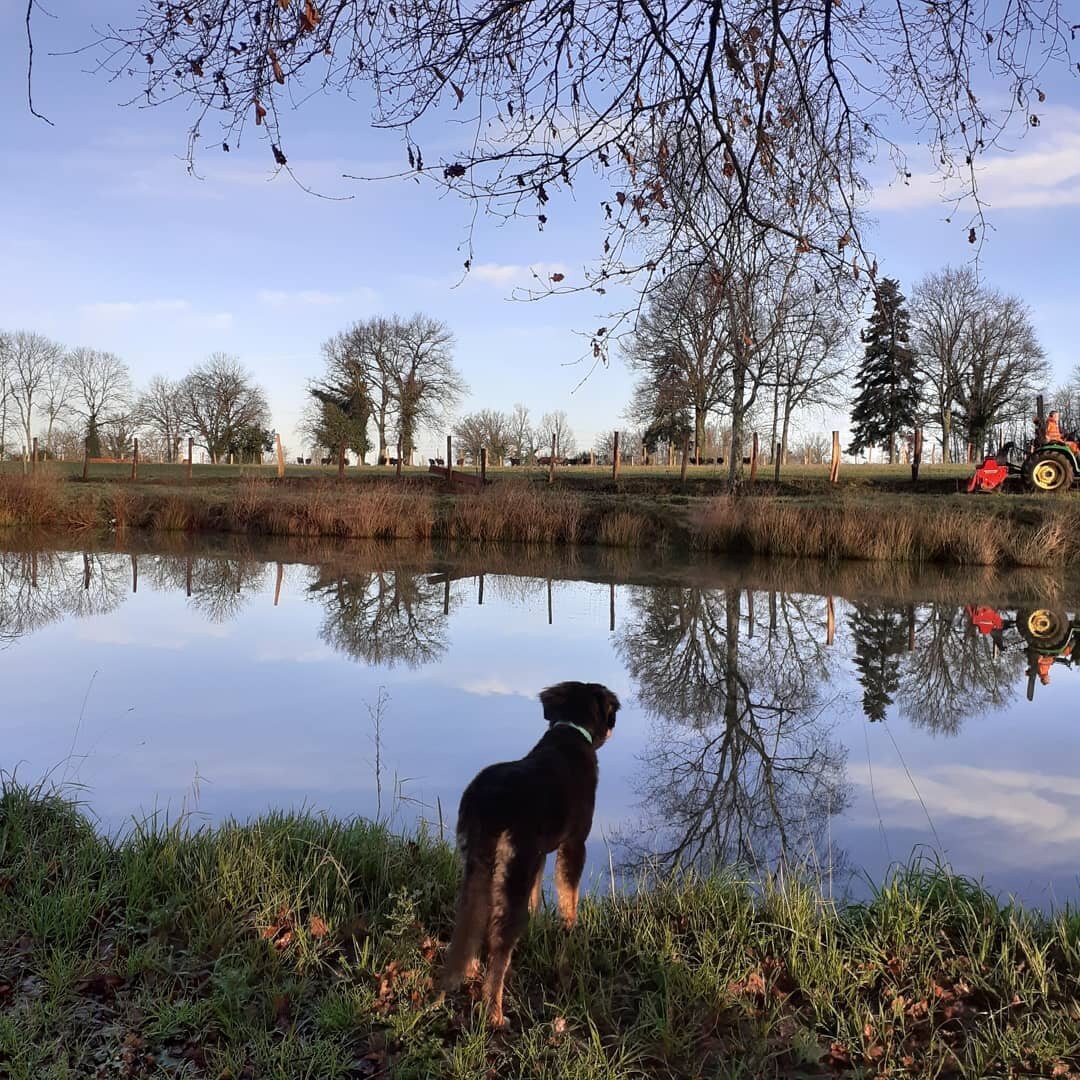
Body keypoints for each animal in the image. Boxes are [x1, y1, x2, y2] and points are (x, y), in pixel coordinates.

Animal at [438, 678, 622, 1023]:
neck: (571, 732)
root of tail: (490, 801)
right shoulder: (573, 845)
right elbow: (568, 894)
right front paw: (569, 928)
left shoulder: (538, 854)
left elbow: (537, 894)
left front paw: (539, 923)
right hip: (512, 871)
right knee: (499, 943)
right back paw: (495, 1012)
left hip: (480, 864)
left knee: (472, 918)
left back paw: (470, 970)